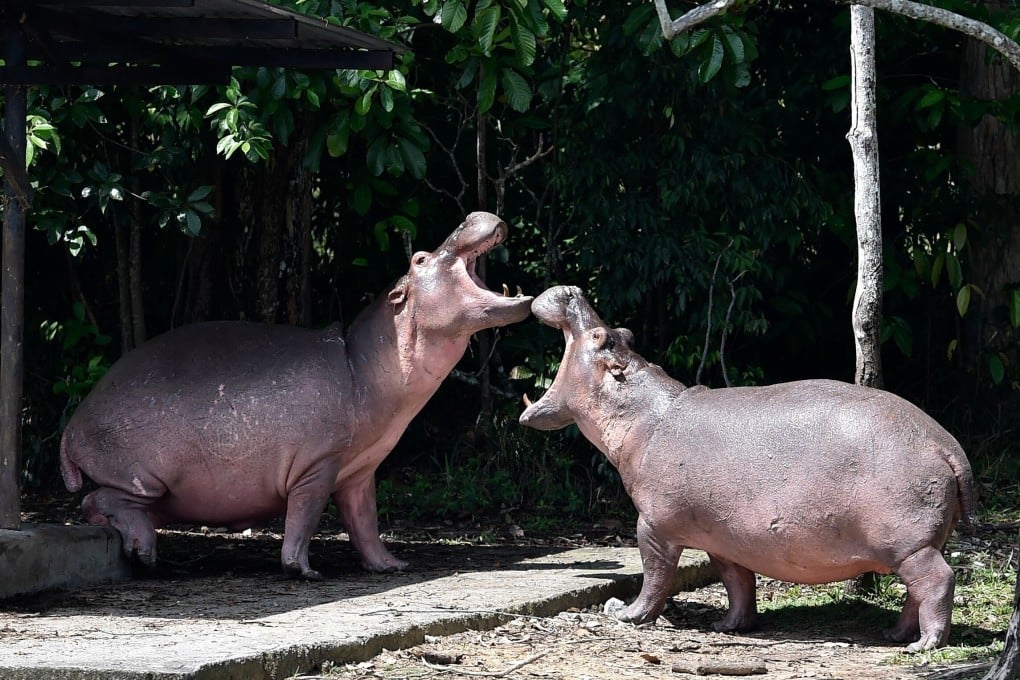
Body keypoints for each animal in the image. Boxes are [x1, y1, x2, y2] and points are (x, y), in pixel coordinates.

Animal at [60, 212, 532, 580]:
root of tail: (70, 427)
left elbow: (366, 523)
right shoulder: (318, 465)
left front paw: (392, 566)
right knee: (98, 501)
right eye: (419, 259)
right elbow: (303, 518)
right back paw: (144, 553)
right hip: (145, 478)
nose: (470, 215)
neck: (363, 362)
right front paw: (304, 570)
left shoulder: (360, 469)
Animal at [519, 285, 976, 651]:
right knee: (916, 592)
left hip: (909, 545)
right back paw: (895, 635)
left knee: (937, 581)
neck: (641, 414)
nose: (572, 289)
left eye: (602, 337)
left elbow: (655, 576)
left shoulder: (653, 525)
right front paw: (729, 626)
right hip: (915, 545)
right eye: (623, 333)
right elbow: (736, 582)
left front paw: (625, 613)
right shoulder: (722, 538)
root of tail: (947, 443)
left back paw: (923, 645)